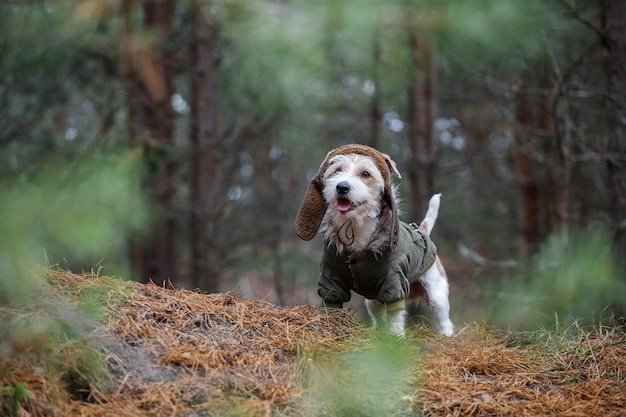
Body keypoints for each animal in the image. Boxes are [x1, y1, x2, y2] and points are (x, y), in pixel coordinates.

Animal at [294, 145, 450, 336]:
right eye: (337, 170)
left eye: (366, 174)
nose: (341, 187)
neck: (355, 227)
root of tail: (422, 231)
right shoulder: (331, 277)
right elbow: (331, 300)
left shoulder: (394, 282)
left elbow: (395, 313)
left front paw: (396, 337)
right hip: (372, 300)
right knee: (378, 314)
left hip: (436, 293)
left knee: (443, 319)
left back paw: (446, 335)